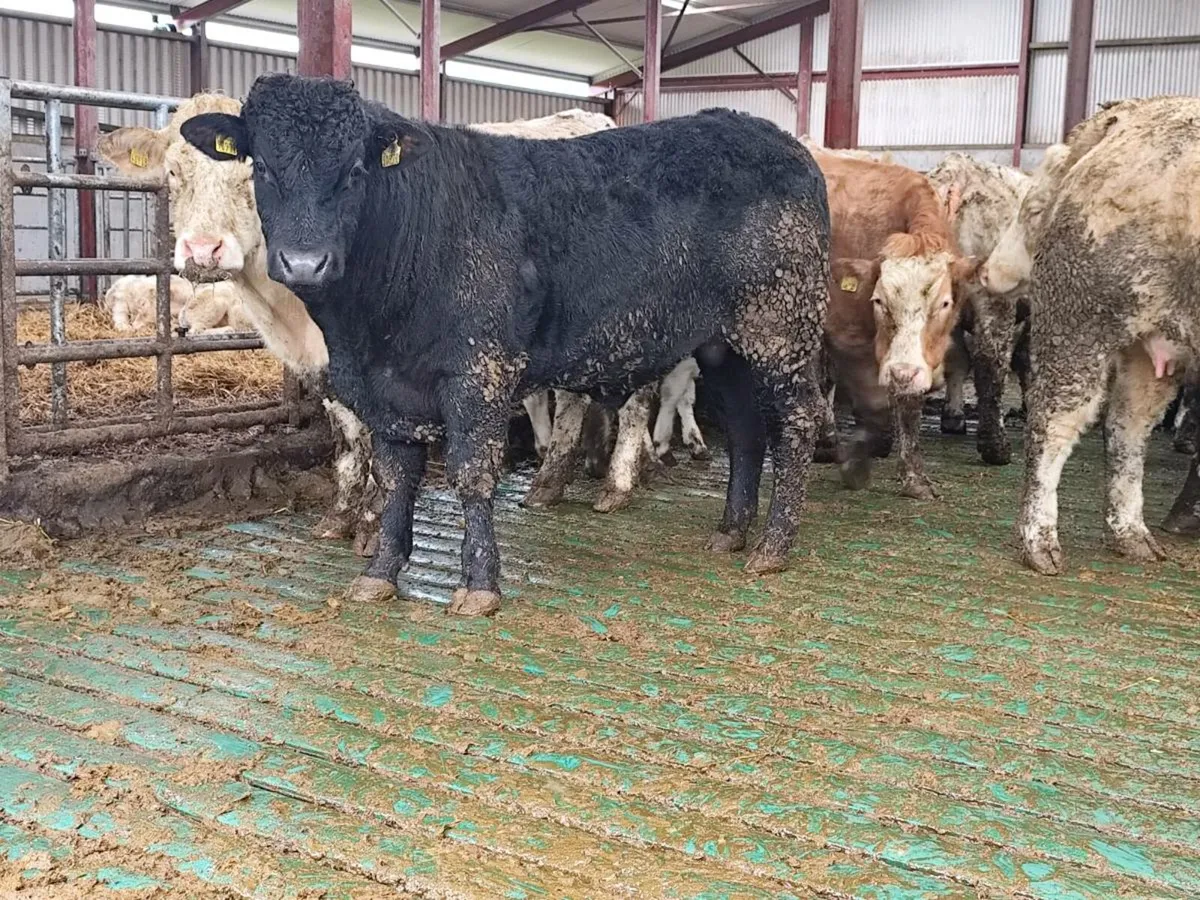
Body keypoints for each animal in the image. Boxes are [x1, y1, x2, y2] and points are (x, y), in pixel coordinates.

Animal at [179, 74, 830, 615]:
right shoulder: (382, 387)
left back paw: (773, 545)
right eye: (262, 166)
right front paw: (380, 572)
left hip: (782, 328)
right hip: (724, 346)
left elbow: (471, 472)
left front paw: (479, 586)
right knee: (745, 431)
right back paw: (731, 531)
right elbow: (396, 477)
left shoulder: (480, 369)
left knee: (796, 423)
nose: (304, 262)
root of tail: (777, 137)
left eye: (356, 170)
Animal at [814, 149, 979, 500]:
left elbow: (909, 401)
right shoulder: (843, 331)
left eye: (944, 303)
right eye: (879, 301)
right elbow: (873, 401)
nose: (902, 372)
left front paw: (914, 477)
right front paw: (855, 462)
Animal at [978, 97, 1200, 574]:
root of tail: (1123, 117)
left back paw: (1130, 534)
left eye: (1030, 212)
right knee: (1055, 424)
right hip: (1079, 320)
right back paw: (1039, 541)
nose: (987, 272)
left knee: (1126, 427)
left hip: (1148, 344)